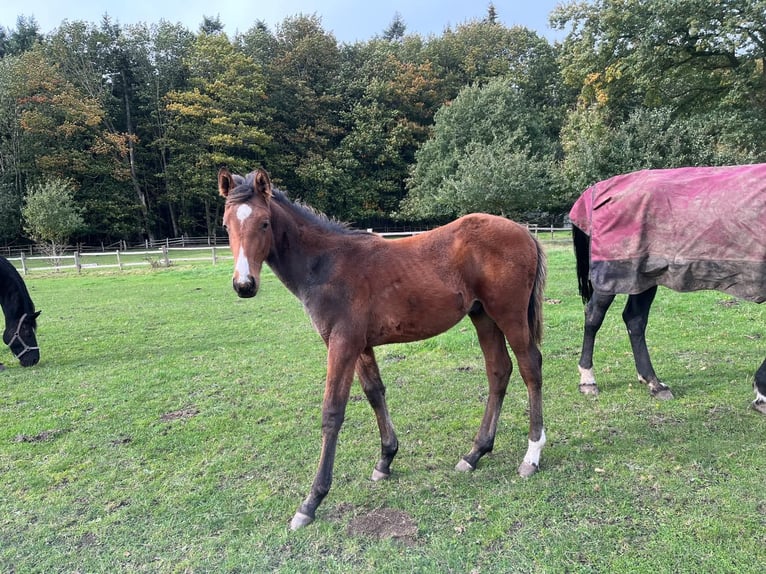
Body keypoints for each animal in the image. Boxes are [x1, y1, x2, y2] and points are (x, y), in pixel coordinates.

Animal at [219, 168, 548, 532]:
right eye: (226, 225)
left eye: (264, 223)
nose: (244, 285)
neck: (325, 264)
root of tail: (524, 232)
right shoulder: (360, 346)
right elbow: (375, 392)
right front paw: (385, 460)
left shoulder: (342, 344)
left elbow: (332, 412)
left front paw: (311, 501)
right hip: (483, 316)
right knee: (498, 370)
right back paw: (474, 453)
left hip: (509, 315)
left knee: (530, 367)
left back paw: (531, 456)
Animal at [568, 164, 766, 412]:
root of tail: (599, 188)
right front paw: (761, 393)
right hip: (612, 275)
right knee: (595, 316)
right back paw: (588, 380)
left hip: (645, 278)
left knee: (634, 319)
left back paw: (653, 383)